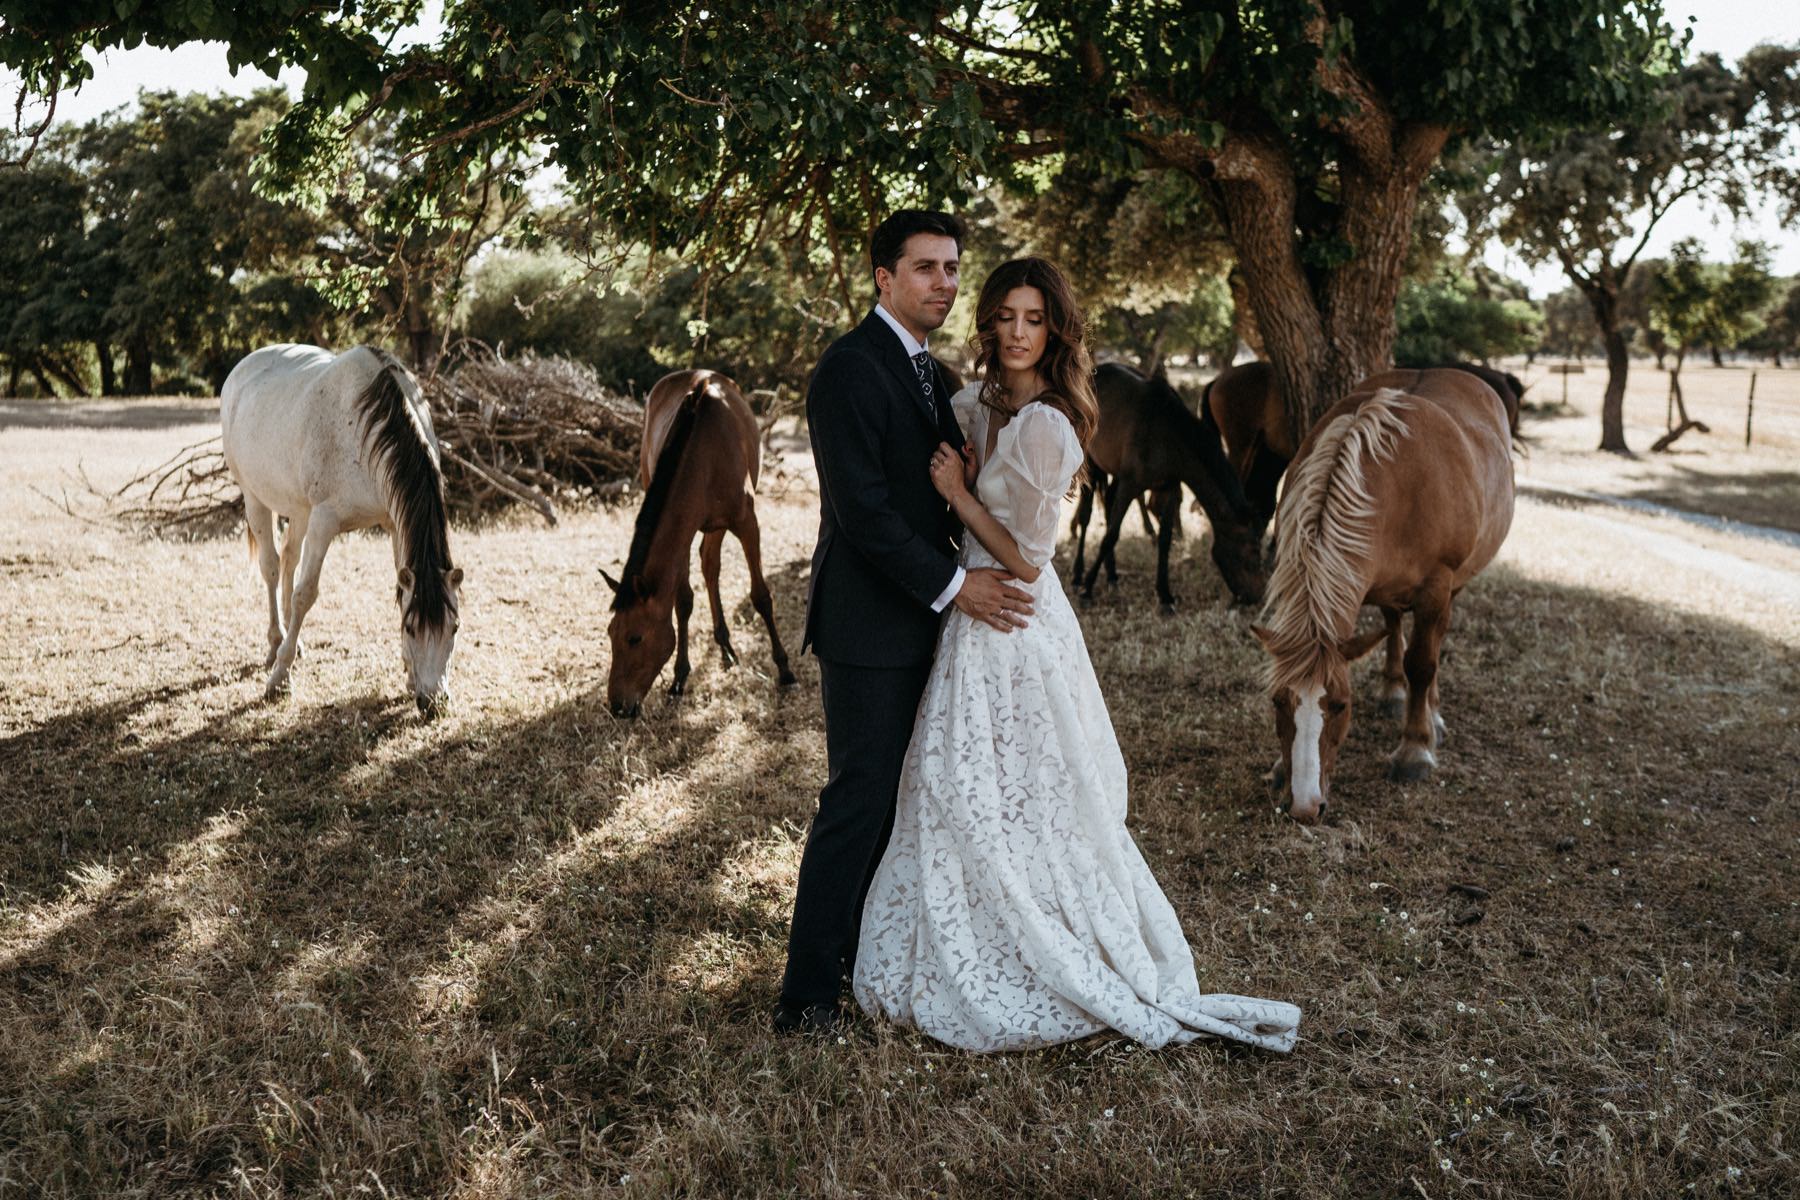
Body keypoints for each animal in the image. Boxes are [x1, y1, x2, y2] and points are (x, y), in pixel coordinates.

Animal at [219, 341, 464, 712]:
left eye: (454, 628)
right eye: (410, 628)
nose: (433, 701)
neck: (368, 428)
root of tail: (241, 368)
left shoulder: (394, 523)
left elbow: (399, 589)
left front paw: (409, 675)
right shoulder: (324, 521)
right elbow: (306, 593)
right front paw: (279, 679)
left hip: (299, 509)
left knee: (289, 558)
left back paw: (291, 640)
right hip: (256, 499)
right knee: (272, 568)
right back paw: (276, 642)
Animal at [597, 370, 795, 719]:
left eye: (635, 638)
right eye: (610, 634)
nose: (618, 707)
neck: (703, 456)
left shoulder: (748, 523)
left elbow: (761, 596)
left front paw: (784, 669)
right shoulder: (684, 532)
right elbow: (683, 602)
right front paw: (679, 676)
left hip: (719, 525)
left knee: (711, 566)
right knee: (709, 566)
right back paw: (724, 647)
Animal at [1065, 361, 1267, 611]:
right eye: (1251, 553)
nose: (1256, 596)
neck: (1168, 436)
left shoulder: (1169, 488)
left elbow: (1164, 540)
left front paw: (1165, 595)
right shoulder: (1131, 485)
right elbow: (1111, 535)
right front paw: (1087, 588)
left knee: (1108, 502)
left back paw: (1112, 575)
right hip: (1091, 465)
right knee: (1086, 515)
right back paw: (1078, 575)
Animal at [1252, 370, 1519, 827]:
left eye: (1341, 705)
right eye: (1278, 701)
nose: (1304, 805)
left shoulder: (1437, 587)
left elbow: (1423, 663)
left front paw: (1415, 750)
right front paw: (1279, 767)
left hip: (1454, 584)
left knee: (1433, 643)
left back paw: (1431, 714)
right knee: (1394, 624)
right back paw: (1395, 693)